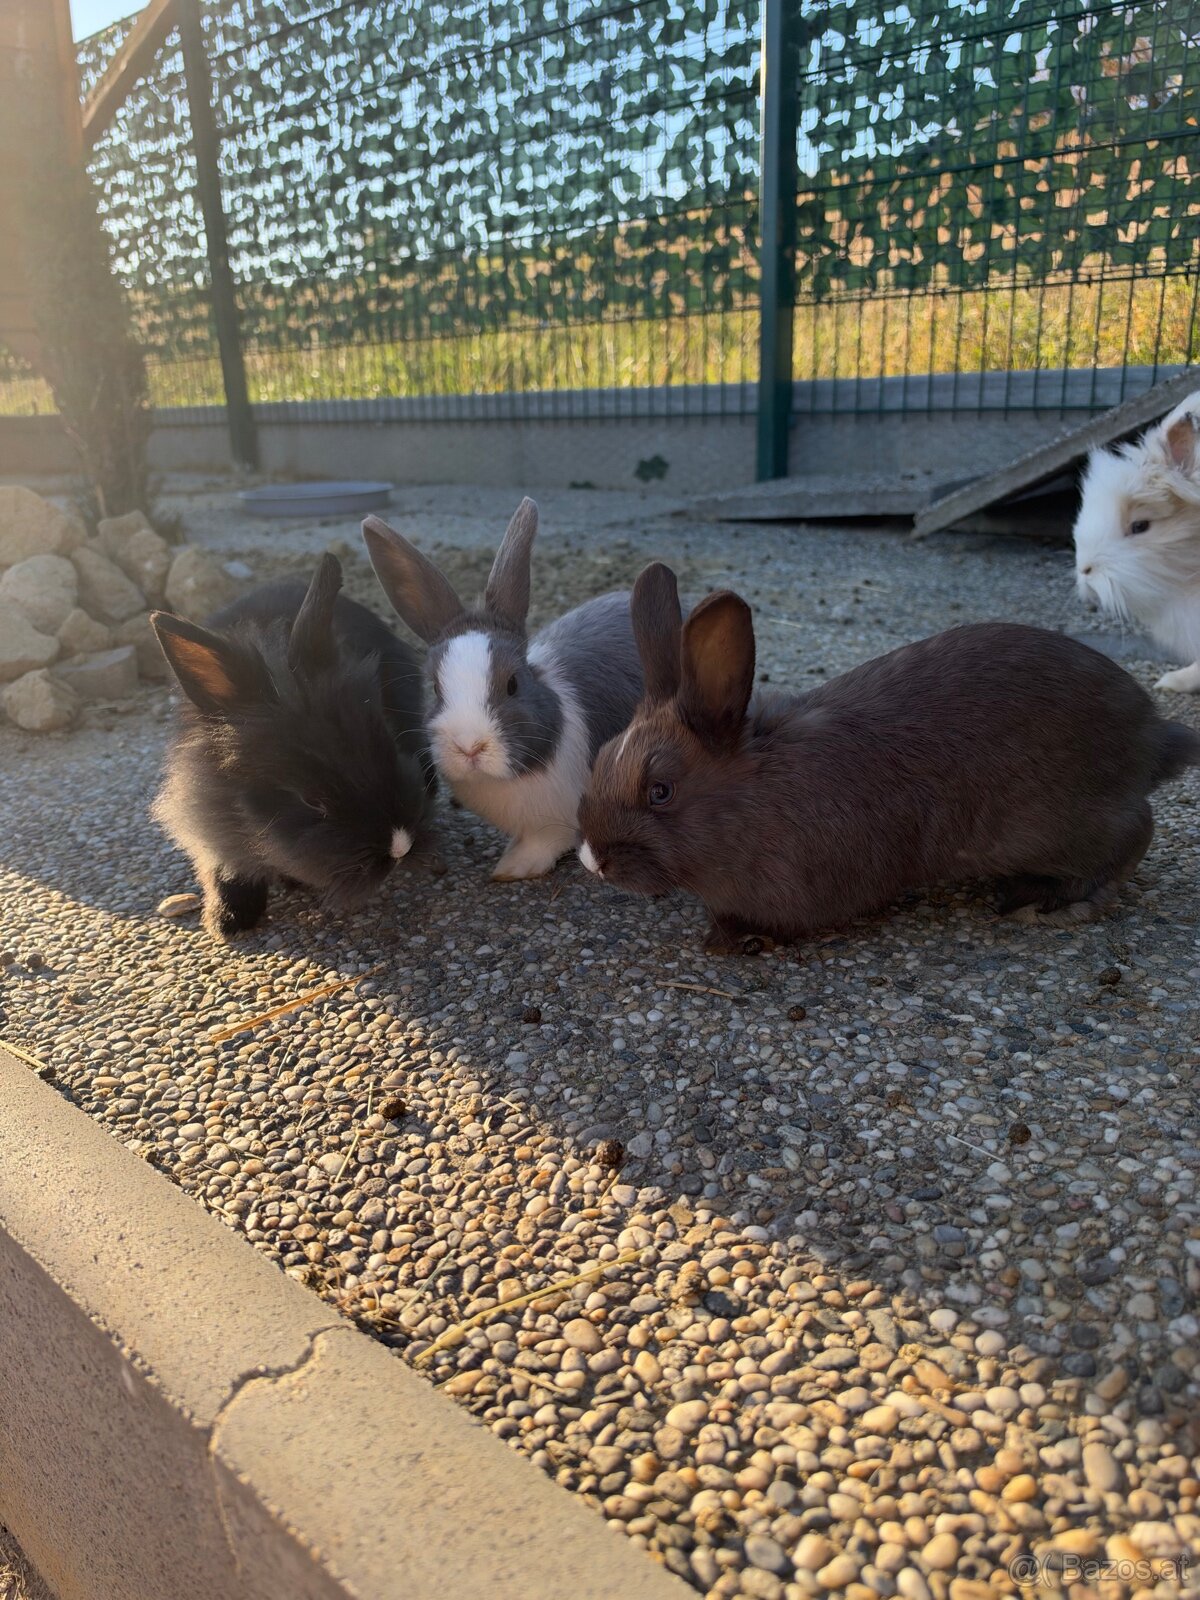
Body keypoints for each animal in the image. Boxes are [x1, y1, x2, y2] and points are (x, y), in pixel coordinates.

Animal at [577, 563, 1200, 953]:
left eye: (660, 791)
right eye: (601, 758)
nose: (591, 860)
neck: (752, 797)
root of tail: (1153, 736)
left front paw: (733, 940)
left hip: (1076, 821)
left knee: (1133, 839)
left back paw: (1044, 903)